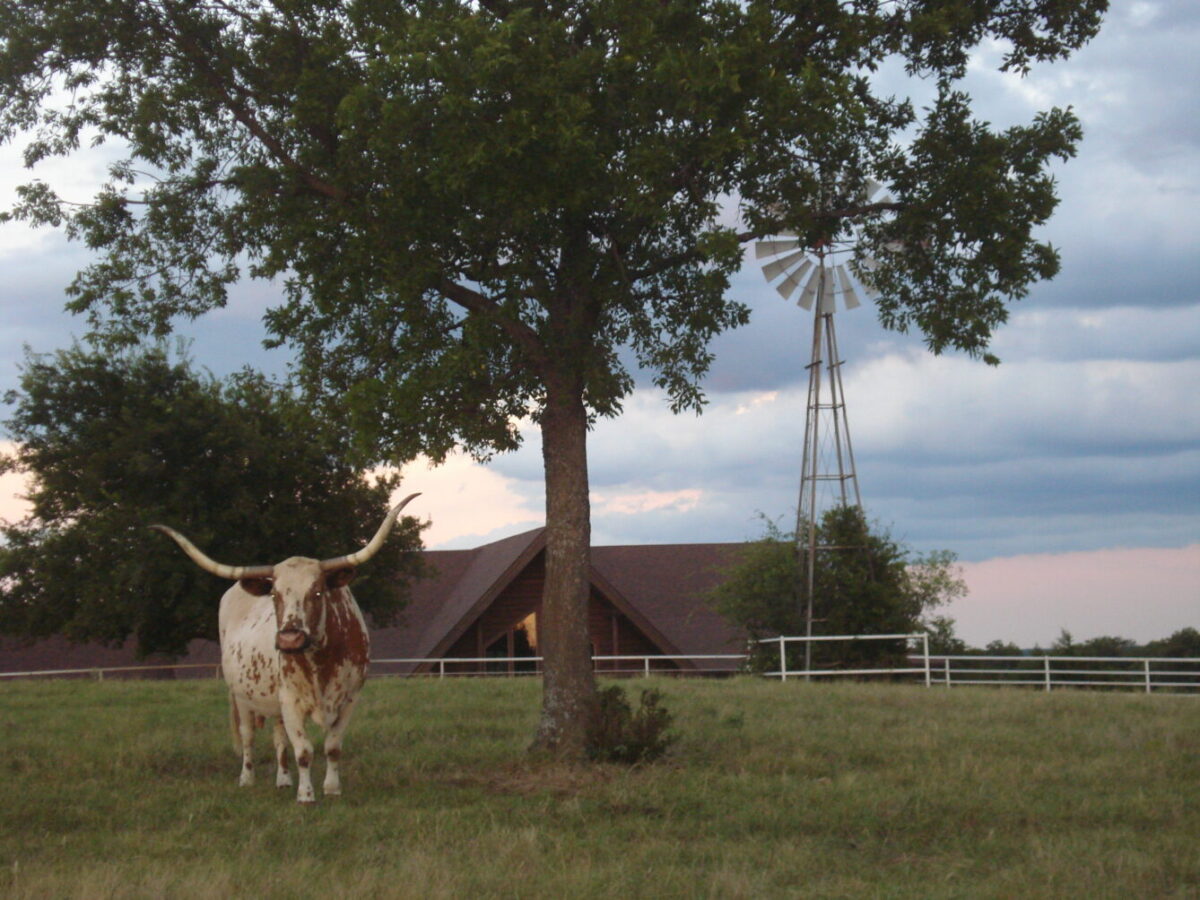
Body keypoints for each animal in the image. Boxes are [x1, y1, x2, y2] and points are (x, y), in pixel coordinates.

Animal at [152, 496, 420, 806]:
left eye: (317, 591)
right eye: (275, 594)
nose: (290, 639)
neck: (320, 664)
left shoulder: (350, 698)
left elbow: (332, 746)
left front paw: (332, 788)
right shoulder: (291, 701)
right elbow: (303, 750)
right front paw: (306, 795)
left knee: (279, 738)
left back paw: (283, 780)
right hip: (241, 697)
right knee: (248, 737)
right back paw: (247, 778)